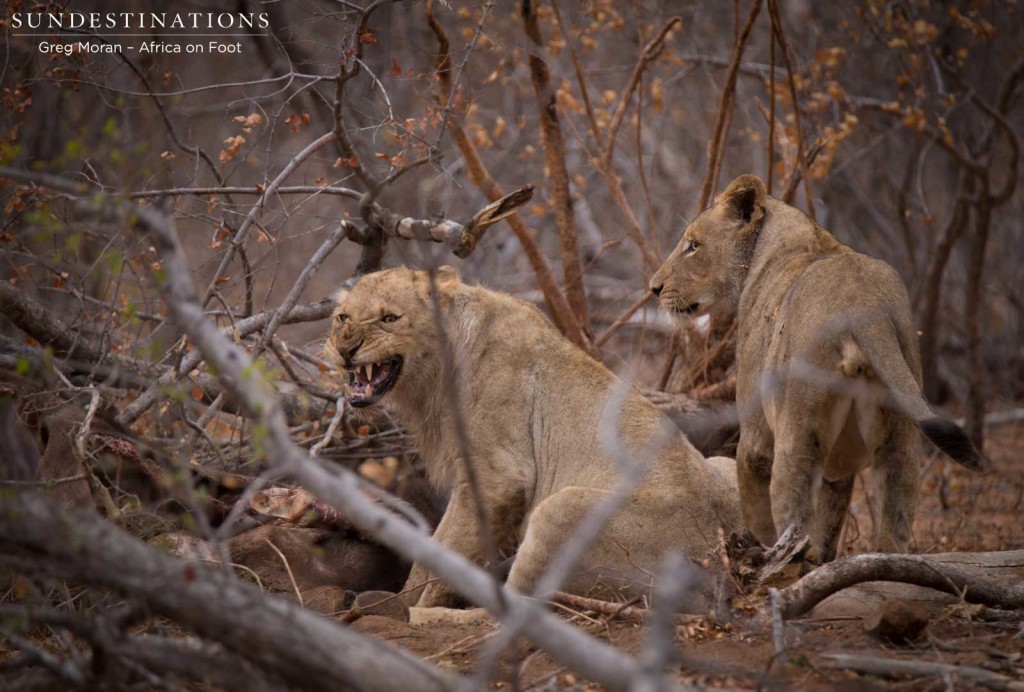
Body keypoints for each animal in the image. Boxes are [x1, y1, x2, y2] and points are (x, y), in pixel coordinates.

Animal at [323, 268, 741, 610]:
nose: (345, 348)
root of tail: (720, 565)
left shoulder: (500, 479)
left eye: (389, 318)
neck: (434, 374)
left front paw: (415, 605)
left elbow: (448, 549)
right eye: (343, 318)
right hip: (724, 464)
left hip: (561, 508)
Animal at [651, 176, 987, 565]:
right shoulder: (839, 465)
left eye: (693, 245)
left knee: (794, 528)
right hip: (901, 433)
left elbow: (758, 513)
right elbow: (830, 524)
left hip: (797, 436)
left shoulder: (755, 438)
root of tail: (863, 309)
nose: (654, 288)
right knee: (892, 531)